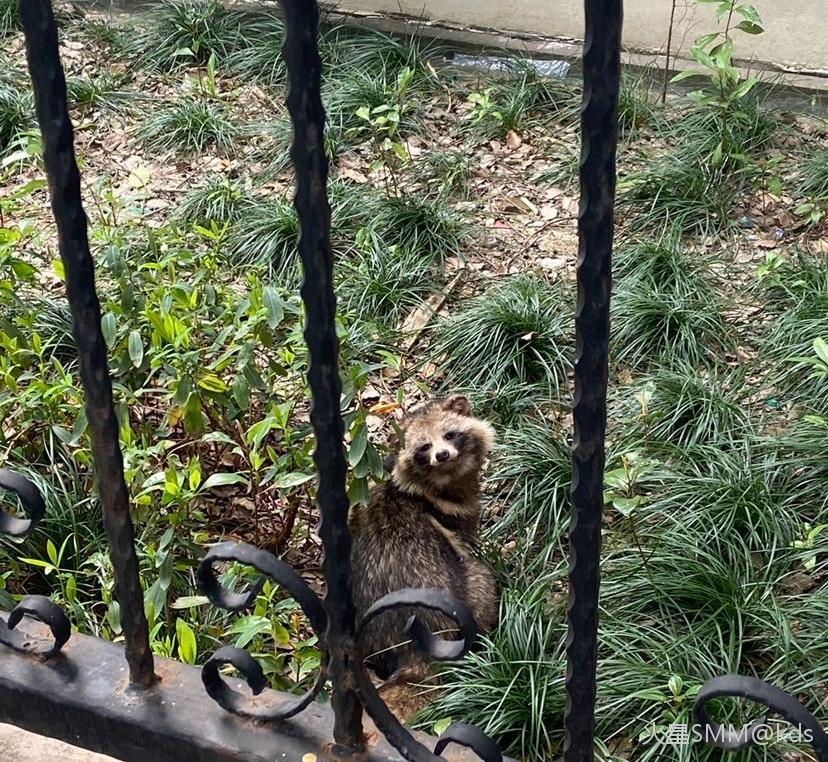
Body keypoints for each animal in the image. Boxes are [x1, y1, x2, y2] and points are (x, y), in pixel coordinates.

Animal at [348, 394, 498, 716]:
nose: (442, 455)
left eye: (449, 434)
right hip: (469, 594)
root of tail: (414, 651)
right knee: (481, 580)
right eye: (424, 447)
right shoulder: (455, 517)